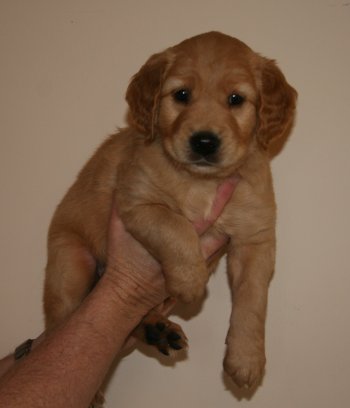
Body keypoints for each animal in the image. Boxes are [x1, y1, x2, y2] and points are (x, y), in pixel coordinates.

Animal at [42, 32, 296, 392]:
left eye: (236, 99)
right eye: (182, 95)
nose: (204, 142)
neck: (202, 181)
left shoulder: (255, 238)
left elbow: (253, 301)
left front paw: (246, 359)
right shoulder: (137, 202)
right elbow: (175, 225)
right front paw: (191, 280)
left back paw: (156, 329)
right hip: (69, 266)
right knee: (60, 323)